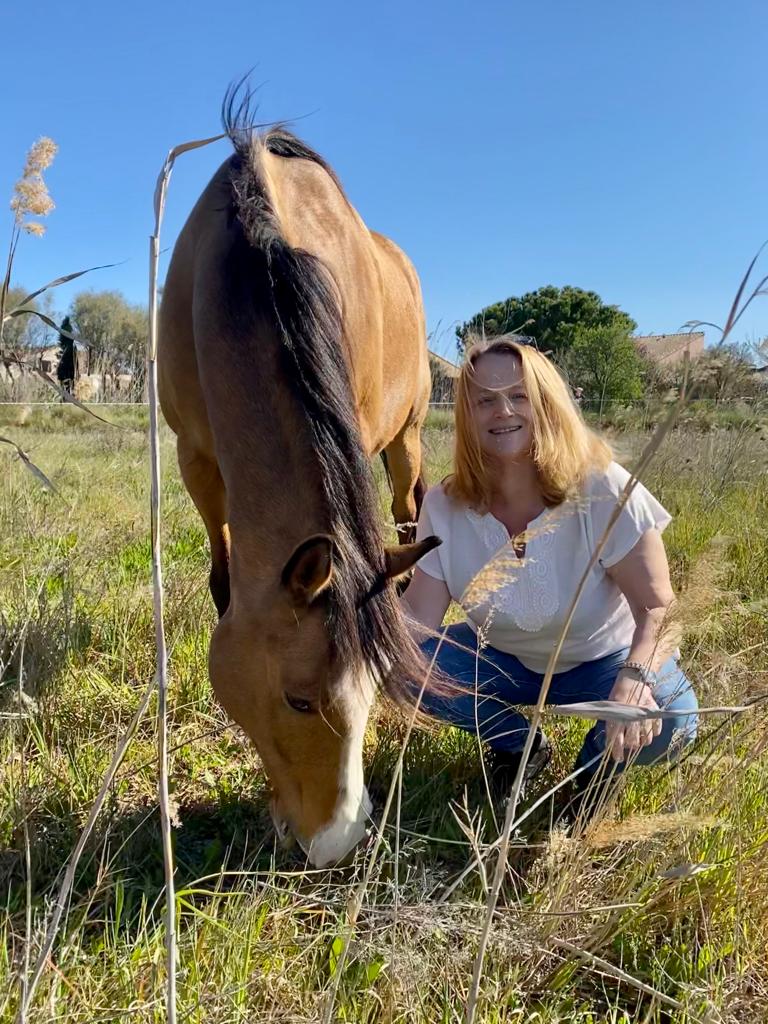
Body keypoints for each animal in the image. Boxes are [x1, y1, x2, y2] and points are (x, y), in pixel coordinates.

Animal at [157, 92, 438, 868]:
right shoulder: (195, 458)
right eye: (300, 700)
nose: (337, 841)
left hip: (405, 438)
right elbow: (224, 580)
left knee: (407, 509)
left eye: (375, 691)